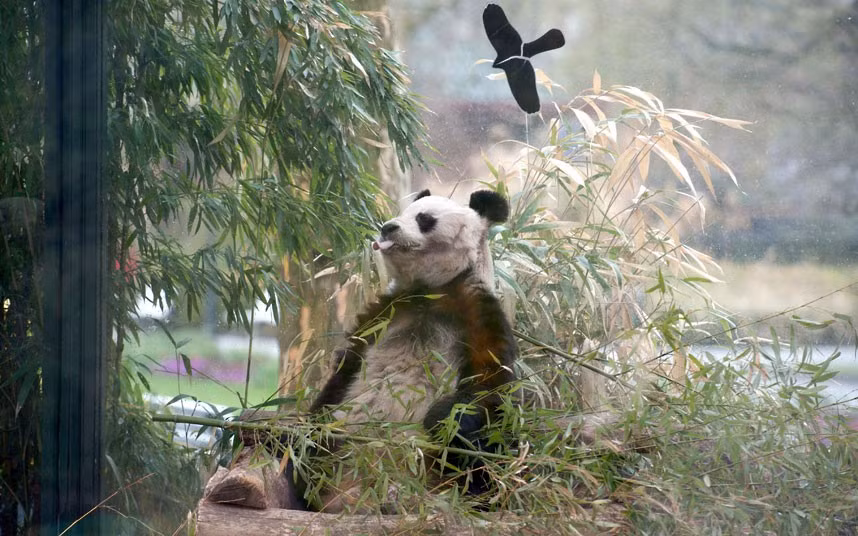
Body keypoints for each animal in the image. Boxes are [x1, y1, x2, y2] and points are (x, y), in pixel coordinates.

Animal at [295, 189, 518, 512]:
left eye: (424, 219)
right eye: (402, 212)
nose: (388, 227)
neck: (430, 290)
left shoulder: (476, 309)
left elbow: (488, 384)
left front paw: (440, 419)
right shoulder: (386, 312)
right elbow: (344, 369)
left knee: (484, 460)